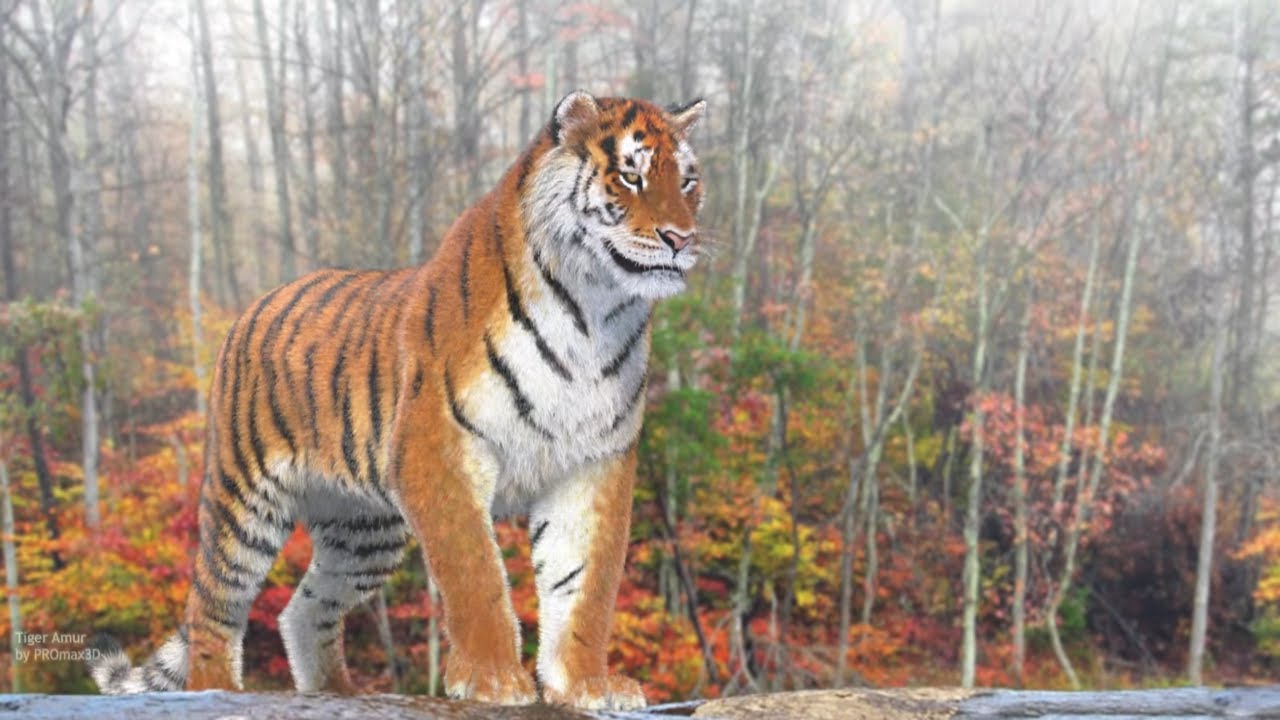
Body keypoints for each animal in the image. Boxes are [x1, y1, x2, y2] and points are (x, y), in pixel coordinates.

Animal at [86, 91, 705, 710]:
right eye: (630, 175)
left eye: (689, 181)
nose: (681, 239)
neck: (594, 312)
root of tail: (254, 305)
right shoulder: (442, 449)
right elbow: (476, 572)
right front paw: (492, 679)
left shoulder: (593, 464)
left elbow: (584, 584)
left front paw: (583, 685)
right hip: (244, 495)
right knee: (213, 606)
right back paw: (219, 689)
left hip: (364, 531)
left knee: (303, 608)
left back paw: (337, 693)